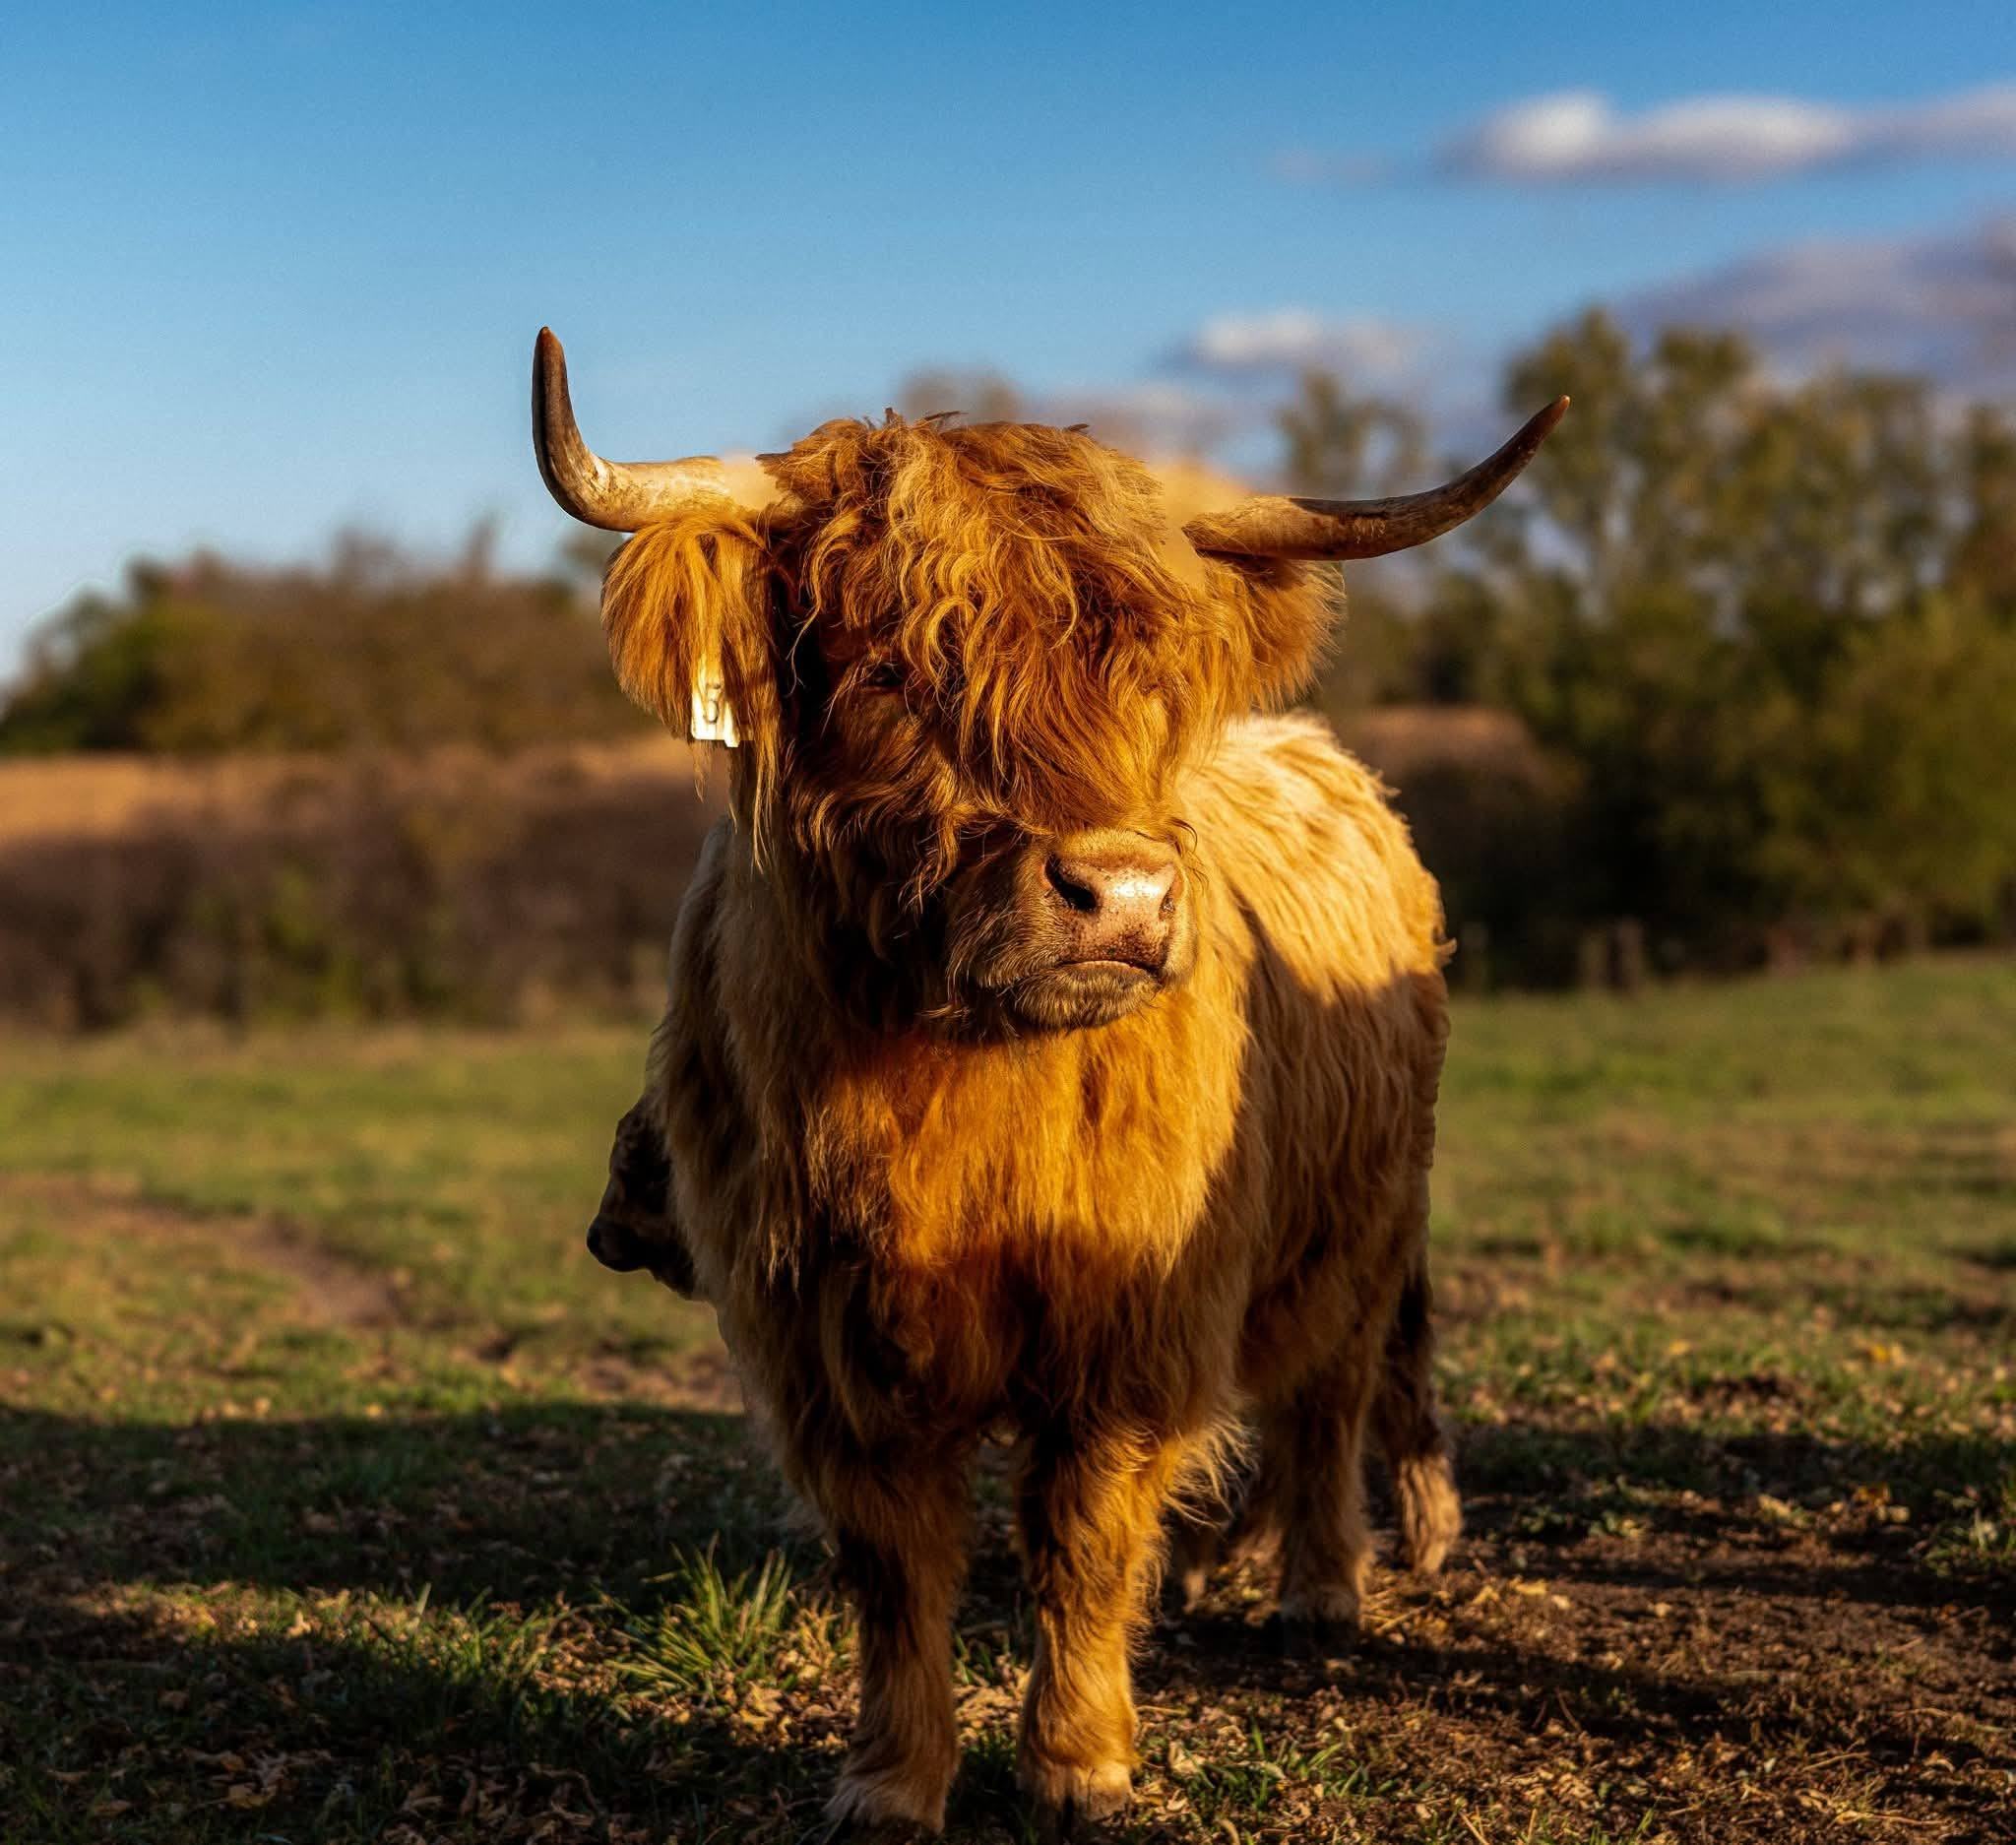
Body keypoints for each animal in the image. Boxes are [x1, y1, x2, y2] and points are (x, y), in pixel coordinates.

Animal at [532, 328, 1564, 1836]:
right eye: (890, 669)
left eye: (1150, 678)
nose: (1122, 892)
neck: (948, 1091)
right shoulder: (822, 1334)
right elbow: (896, 1564)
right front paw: (891, 1780)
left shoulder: (1130, 1317)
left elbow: (1079, 1538)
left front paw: (1081, 1763)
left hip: (1359, 1220)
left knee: (1326, 1391)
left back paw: (1320, 1587)